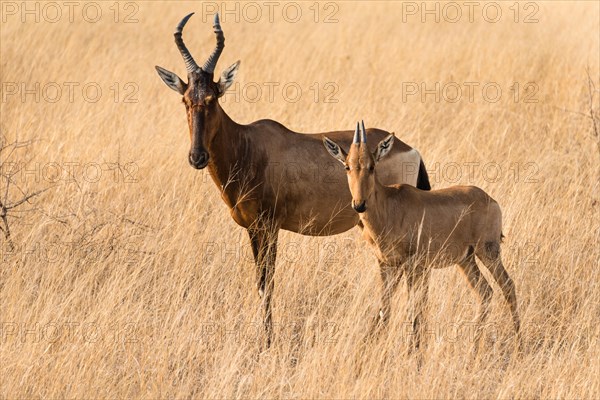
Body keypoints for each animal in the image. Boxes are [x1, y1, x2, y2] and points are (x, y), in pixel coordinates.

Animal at [156, 10, 432, 346]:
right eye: (185, 99)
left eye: (213, 97)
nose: (197, 157)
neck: (248, 145)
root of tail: (410, 148)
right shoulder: (253, 229)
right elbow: (261, 283)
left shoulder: (269, 227)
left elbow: (267, 283)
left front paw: (267, 343)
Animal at [324, 121, 520, 350]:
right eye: (347, 166)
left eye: (372, 166)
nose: (359, 205)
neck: (389, 204)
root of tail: (491, 200)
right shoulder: (386, 264)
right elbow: (385, 308)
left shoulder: (413, 265)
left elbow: (413, 309)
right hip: (466, 259)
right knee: (485, 292)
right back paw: (474, 345)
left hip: (488, 251)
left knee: (508, 286)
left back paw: (519, 343)